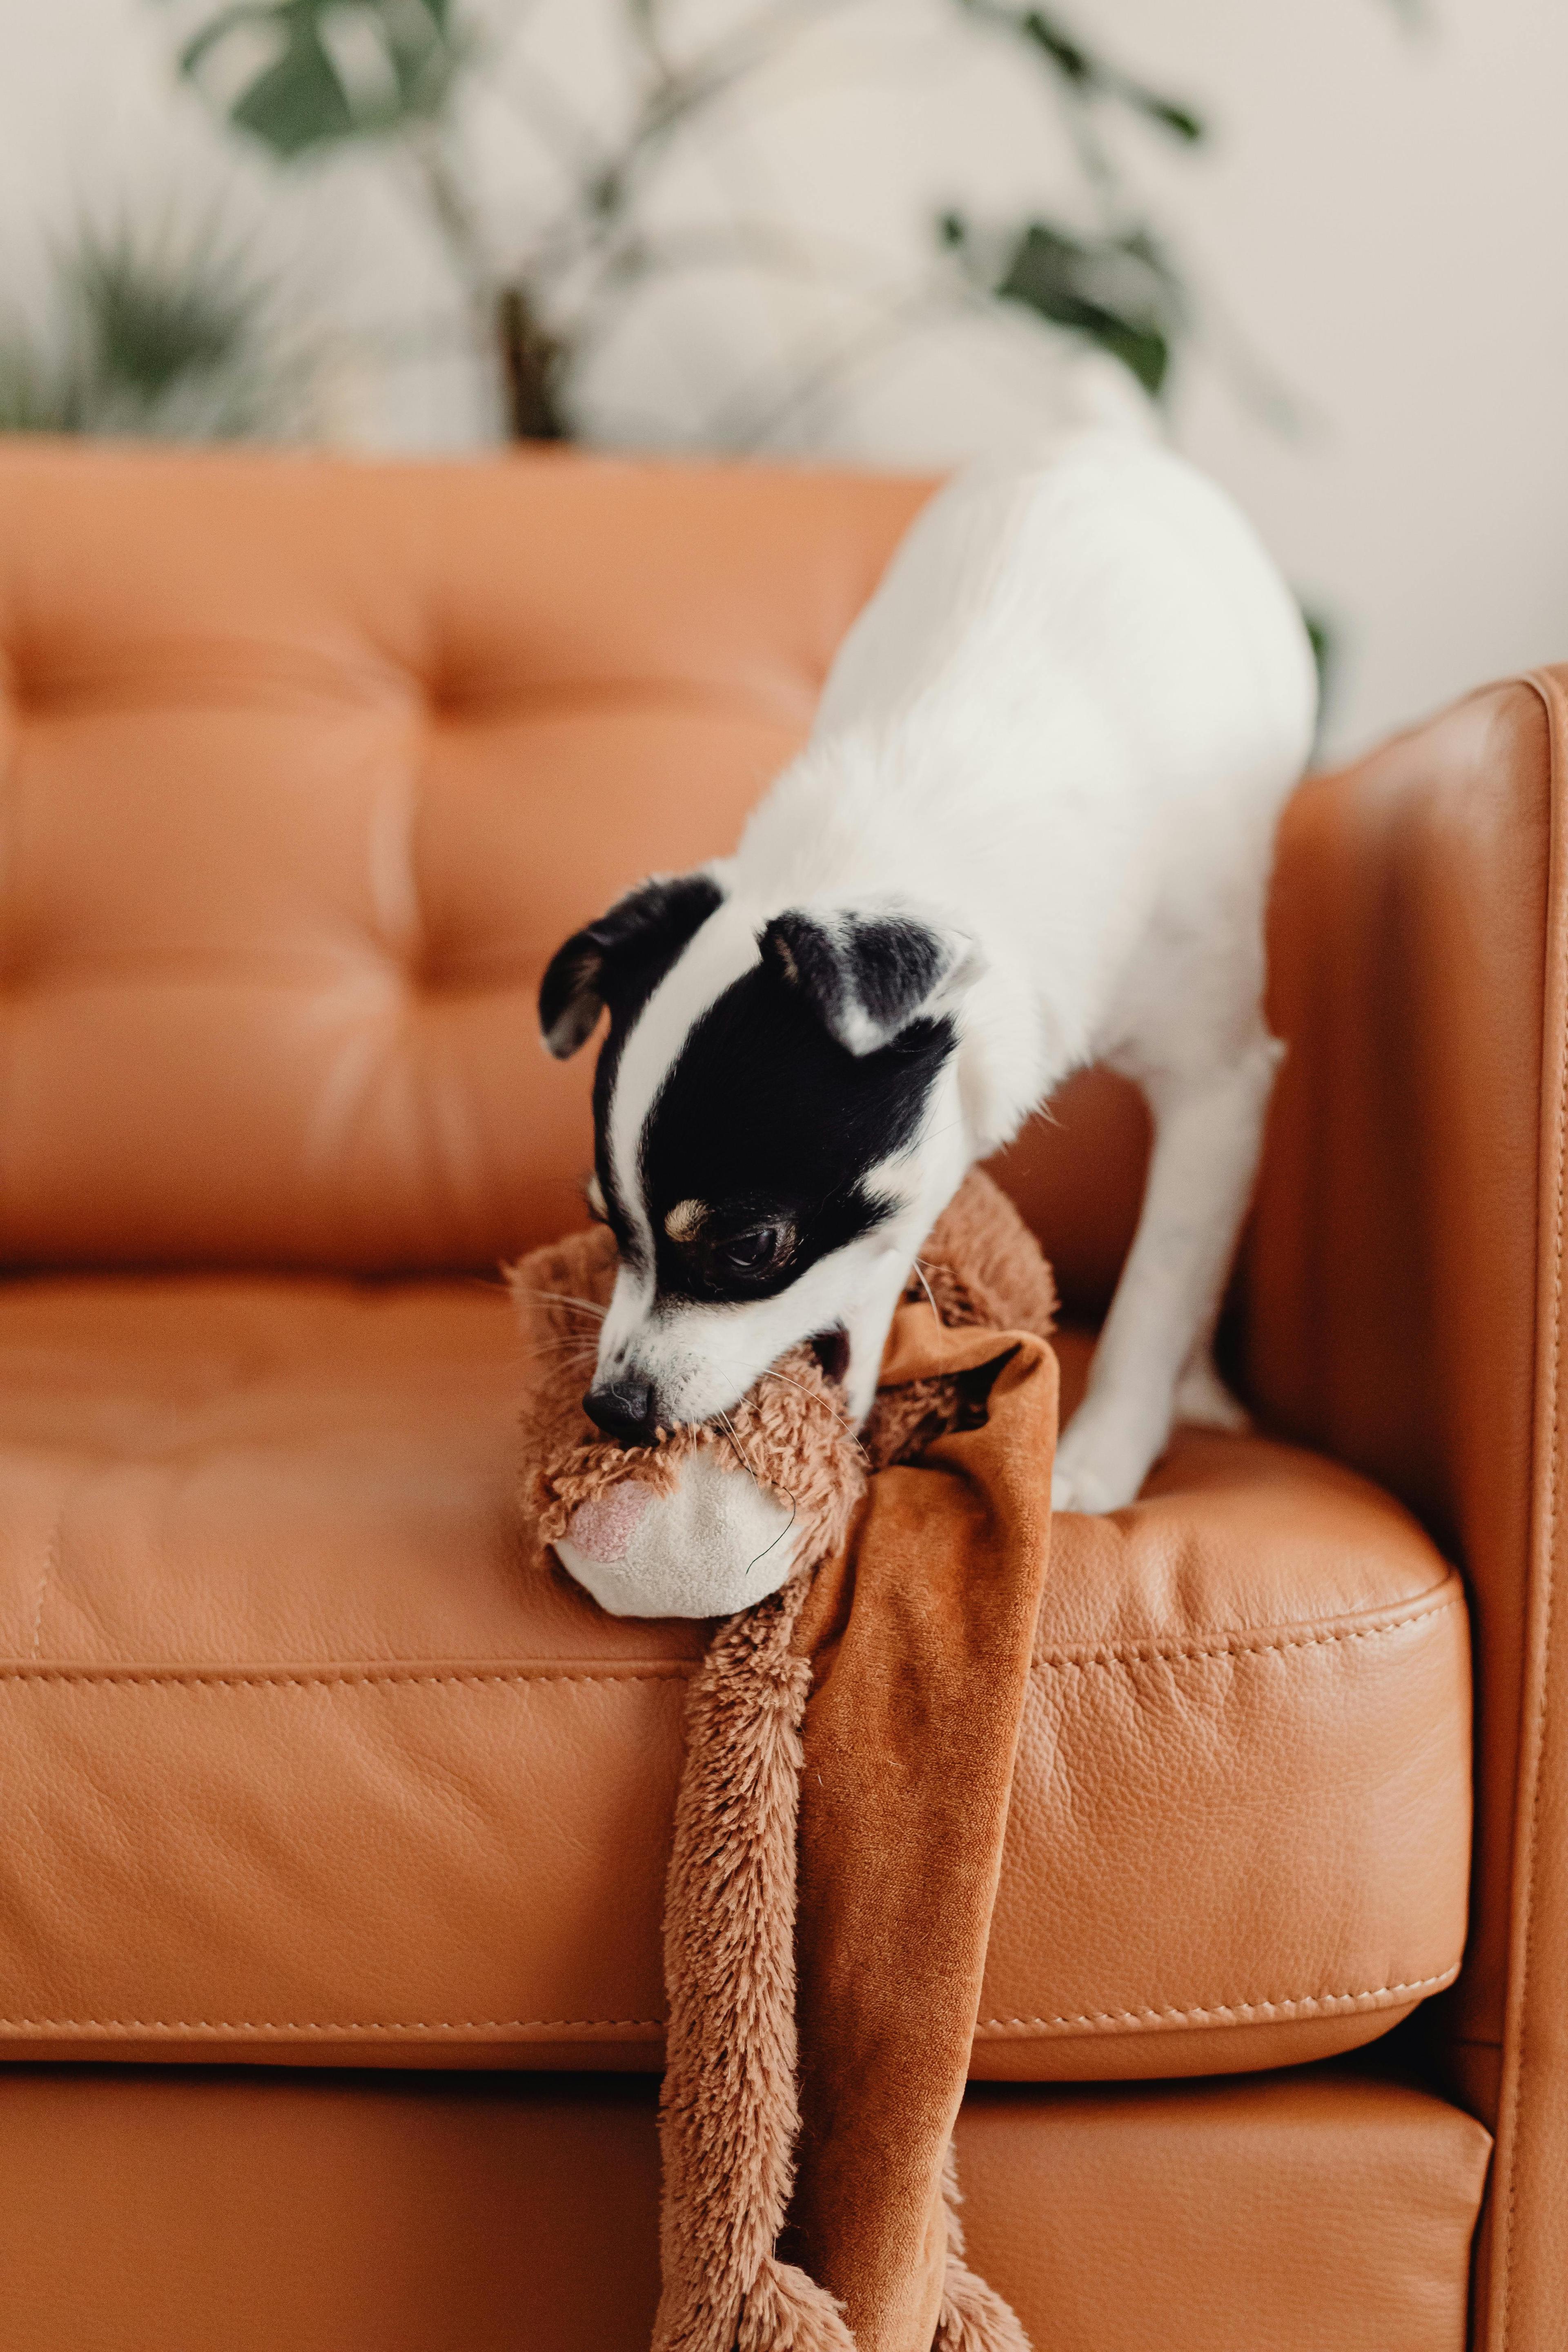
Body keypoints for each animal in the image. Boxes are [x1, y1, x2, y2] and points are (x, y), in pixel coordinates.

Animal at [541, 430, 1316, 1515]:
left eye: (749, 1248)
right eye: (601, 1221)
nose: (613, 1408)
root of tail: (1103, 437)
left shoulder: (1218, 1081)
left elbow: (1163, 1274)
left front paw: (1101, 1457)